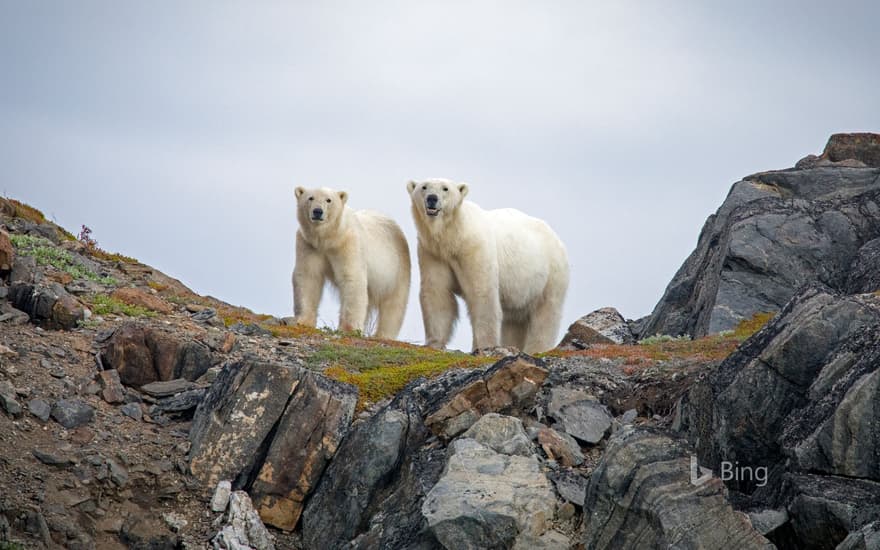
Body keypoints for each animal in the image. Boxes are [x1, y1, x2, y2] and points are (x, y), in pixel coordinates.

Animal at [290, 188, 410, 338]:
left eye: (328, 200)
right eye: (310, 198)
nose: (318, 211)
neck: (328, 239)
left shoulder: (348, 244)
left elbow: (352, 279)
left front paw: (349, 329)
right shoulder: (309, 245)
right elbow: (308, 277)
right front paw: (303, 321)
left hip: (397, 269)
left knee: (394, 305)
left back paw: (382, 335)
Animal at [408, 179, 568, 356]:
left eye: (445, 188)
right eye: (424, 187)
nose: (432, 198)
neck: (454, 236)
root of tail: (556, 238)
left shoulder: (475, 248)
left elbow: (482, 294)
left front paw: (486, 346)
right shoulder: (433, 253)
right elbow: (437, 292)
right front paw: (434, 343)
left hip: (550, 275)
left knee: (546, 314)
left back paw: (536, 349)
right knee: (514, 320)